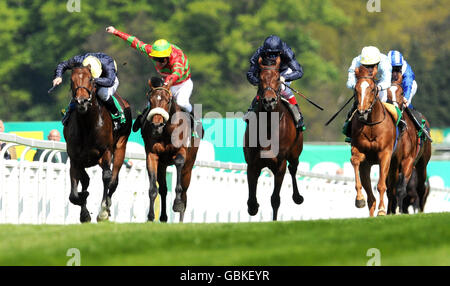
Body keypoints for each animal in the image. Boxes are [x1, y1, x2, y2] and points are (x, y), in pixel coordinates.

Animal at [64, 66, 133, 222]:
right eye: (71, 80)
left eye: (90, 79)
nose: (81, 101)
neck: (87, 125)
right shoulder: (75, 158)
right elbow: (74, 194)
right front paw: (84, 210)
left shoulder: (105, 151)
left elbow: (107, 177)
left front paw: (102, 212)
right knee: (86, 180)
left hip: (120, 147)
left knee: (113, 181)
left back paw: (106, 207)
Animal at [142, 77, 202, 222]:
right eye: (150, 100)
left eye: (168, 100)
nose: (157, 125)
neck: (167, 130)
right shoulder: (152, 155)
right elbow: (153, 189)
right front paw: (150, 217)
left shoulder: (181, 152)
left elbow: (179, 164)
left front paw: (177, 204)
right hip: (162, 165)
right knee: (163, 189)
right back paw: (163, 217)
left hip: (189, 166)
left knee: (185, 192)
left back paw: (180, 218)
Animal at [244, 56, 304, 221]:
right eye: (260, 78)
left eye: (278, 78)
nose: (269, 101)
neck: (269, 126)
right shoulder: (252, 163)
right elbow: (251, 200)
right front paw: (253, 207)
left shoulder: (279, 164)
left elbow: (275, 199)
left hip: (295, 153)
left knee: (293, 168)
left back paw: (298, 197)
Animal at [384, 70, 430, 213]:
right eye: (386, 92)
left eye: (401, 93)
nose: (394, 107)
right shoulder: (392, 162)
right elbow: (390, 189)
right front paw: (390, 212)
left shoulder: (408, 160)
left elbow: (400, 189)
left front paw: (399, 211)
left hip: (422, 164)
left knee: (421, 188)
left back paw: (421, 211)